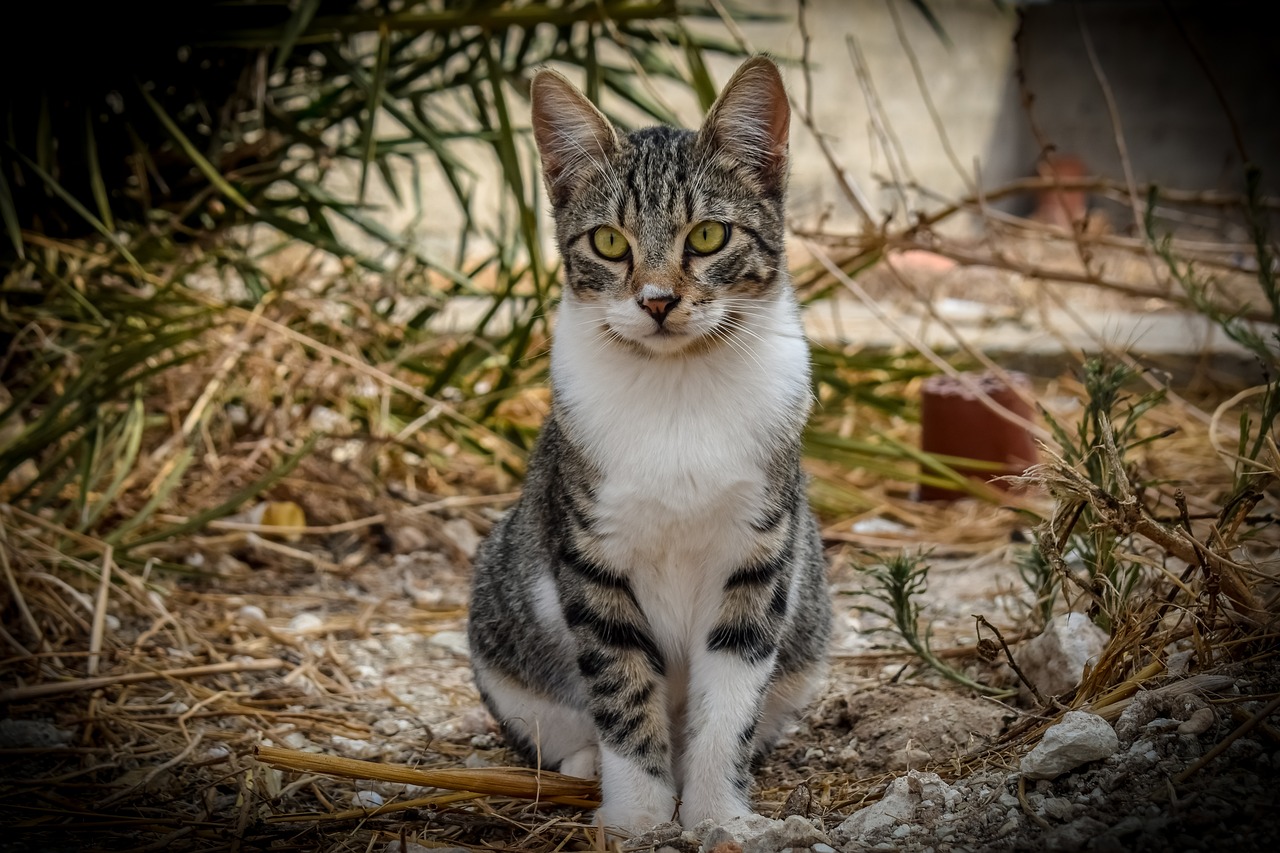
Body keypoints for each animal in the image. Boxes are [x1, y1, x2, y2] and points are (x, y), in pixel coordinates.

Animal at [468, 56, 829, 835]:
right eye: (609, 242)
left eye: (708, 236)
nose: (658, 300)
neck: (677, 390)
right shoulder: (590, 556)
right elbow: (622, 685)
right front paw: (636, 815)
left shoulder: (760, 555)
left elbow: (729, 701)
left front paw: (719, 814)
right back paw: (584, 765)